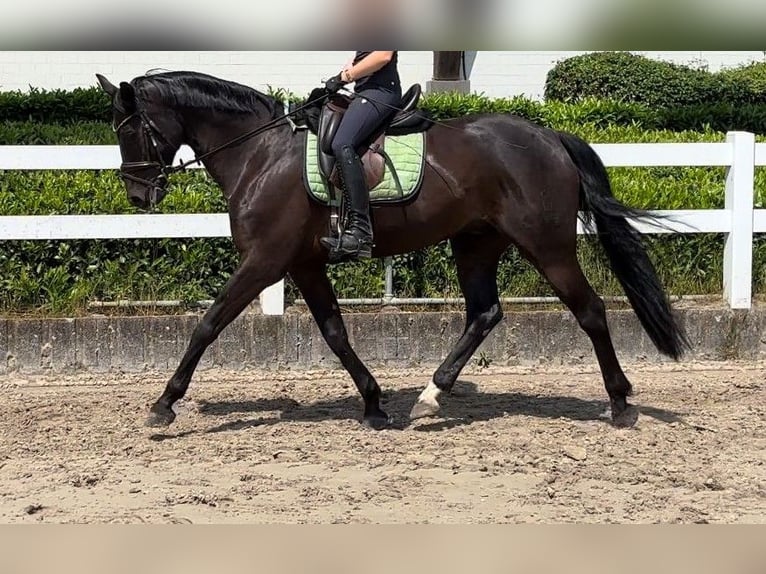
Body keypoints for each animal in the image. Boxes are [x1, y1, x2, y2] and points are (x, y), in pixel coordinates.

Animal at [94, 71, 688, 432]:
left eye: (131, 129)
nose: (137, 195)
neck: (260, 152)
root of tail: (549, 138)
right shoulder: (304, 264)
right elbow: (335, 334)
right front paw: (375, 403)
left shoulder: (266, 260)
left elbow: (209, 322)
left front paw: (164, 404)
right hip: (475, 243)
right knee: (484, 314)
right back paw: (429, 396)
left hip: (548, 245)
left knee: (590, 310)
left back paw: (620, 403)